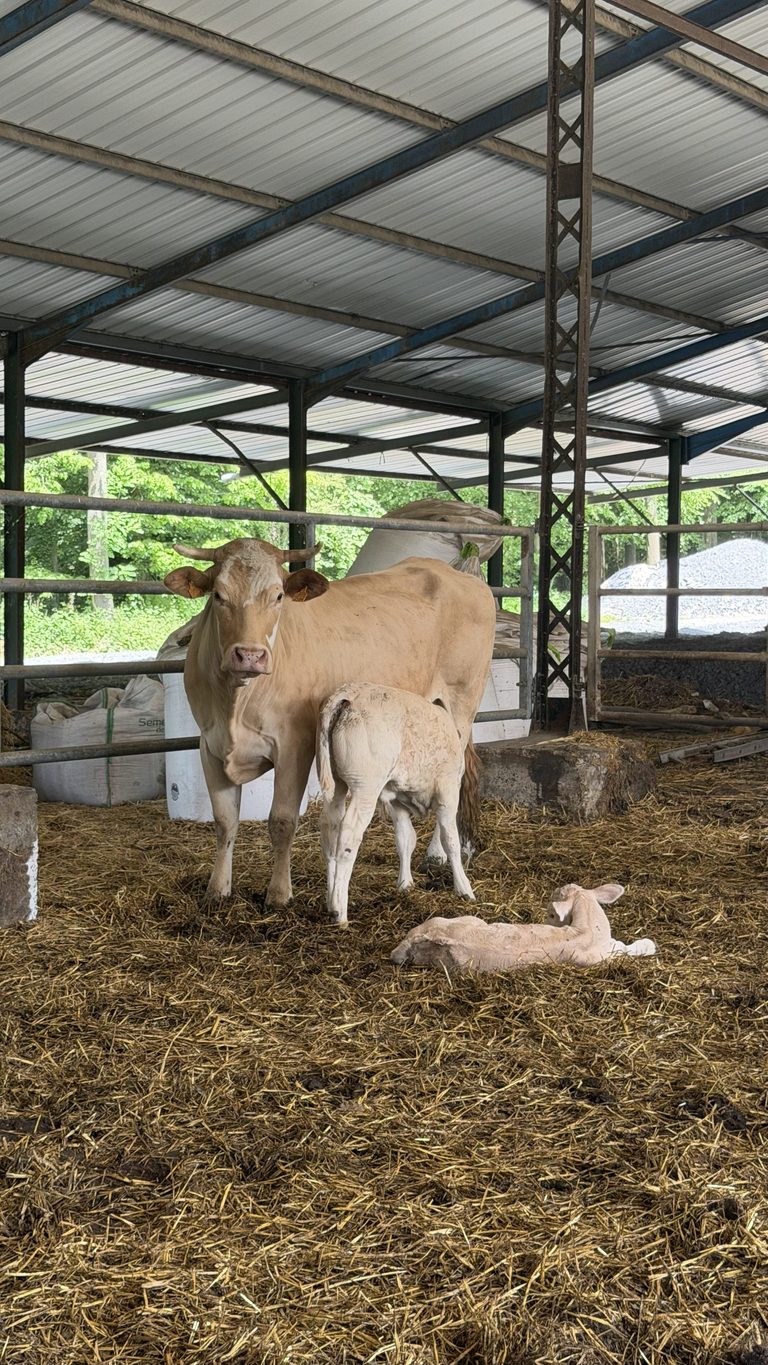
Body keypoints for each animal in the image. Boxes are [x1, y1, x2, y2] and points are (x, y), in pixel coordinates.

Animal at [317, 683, 475, 924]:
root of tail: (348, 694)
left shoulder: (398, 801)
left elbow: (405, 840)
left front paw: (405, 884)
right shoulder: (447, 793)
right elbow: (451, 841)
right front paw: (464, 888)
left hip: (336, 786)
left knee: (330, 831)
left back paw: (329, 900)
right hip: (365, 787)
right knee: (348, 836)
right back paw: (339, 911)